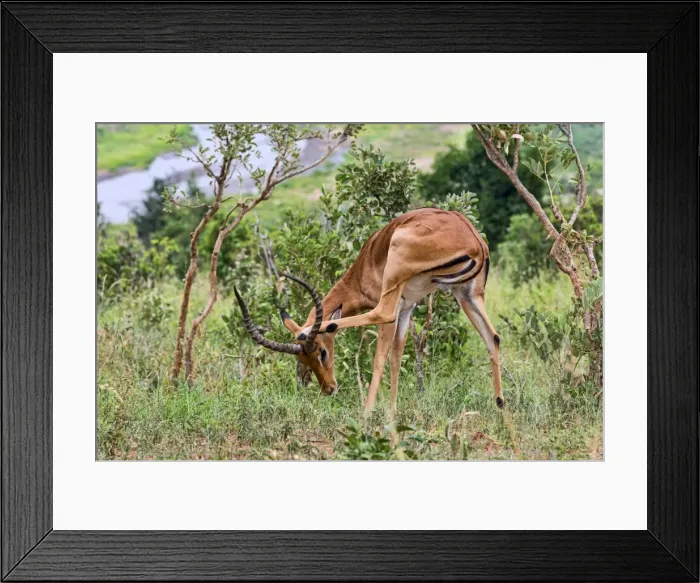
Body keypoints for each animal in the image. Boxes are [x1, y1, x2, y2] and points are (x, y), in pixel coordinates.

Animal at [234, 208, 503, 418]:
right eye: (302, 360)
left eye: (322, 352)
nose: (329, 389)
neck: (364, 264)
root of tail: (474, 240)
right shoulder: (407, 308)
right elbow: (397, 358)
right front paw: (392, 412)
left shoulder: (396, 306)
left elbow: (380, 358)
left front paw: (371, 411)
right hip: (468, 294)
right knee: (493, 337)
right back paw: (500, 404)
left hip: (399, 282)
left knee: (378, 314)